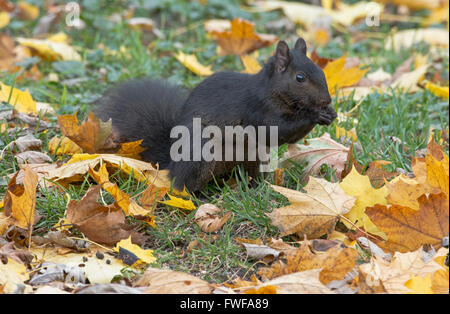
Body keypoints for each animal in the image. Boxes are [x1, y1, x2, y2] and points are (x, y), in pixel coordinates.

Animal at [96, 38, 334, 191]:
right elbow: (277, 131)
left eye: (322, 71)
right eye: (300, 78)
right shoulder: (257, 109)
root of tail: (172, 164)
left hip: (255, 156)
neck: (272, 91)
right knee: (183, 185)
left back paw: (258, 187)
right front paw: (314, 116)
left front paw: (329, 114)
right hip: (200, 155)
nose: (327, 101)